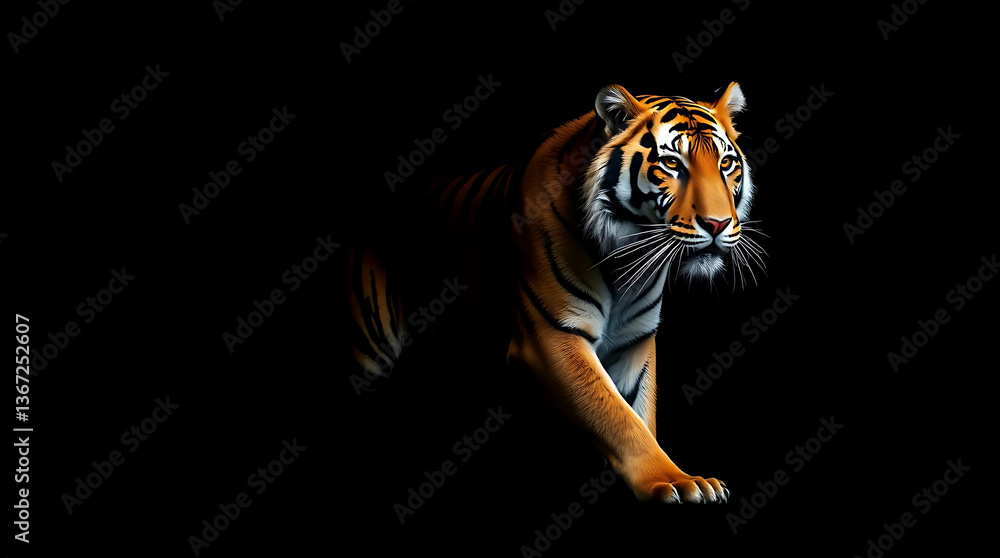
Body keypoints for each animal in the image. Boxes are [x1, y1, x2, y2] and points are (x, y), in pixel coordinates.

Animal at [348, 82, 764, 504]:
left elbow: (638, 412)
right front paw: (675, 481)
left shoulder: (635, 340)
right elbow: (619, 418)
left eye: (725, 164)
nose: (718, 224)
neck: (628, 260)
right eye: (673, 165)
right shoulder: (553, 336)